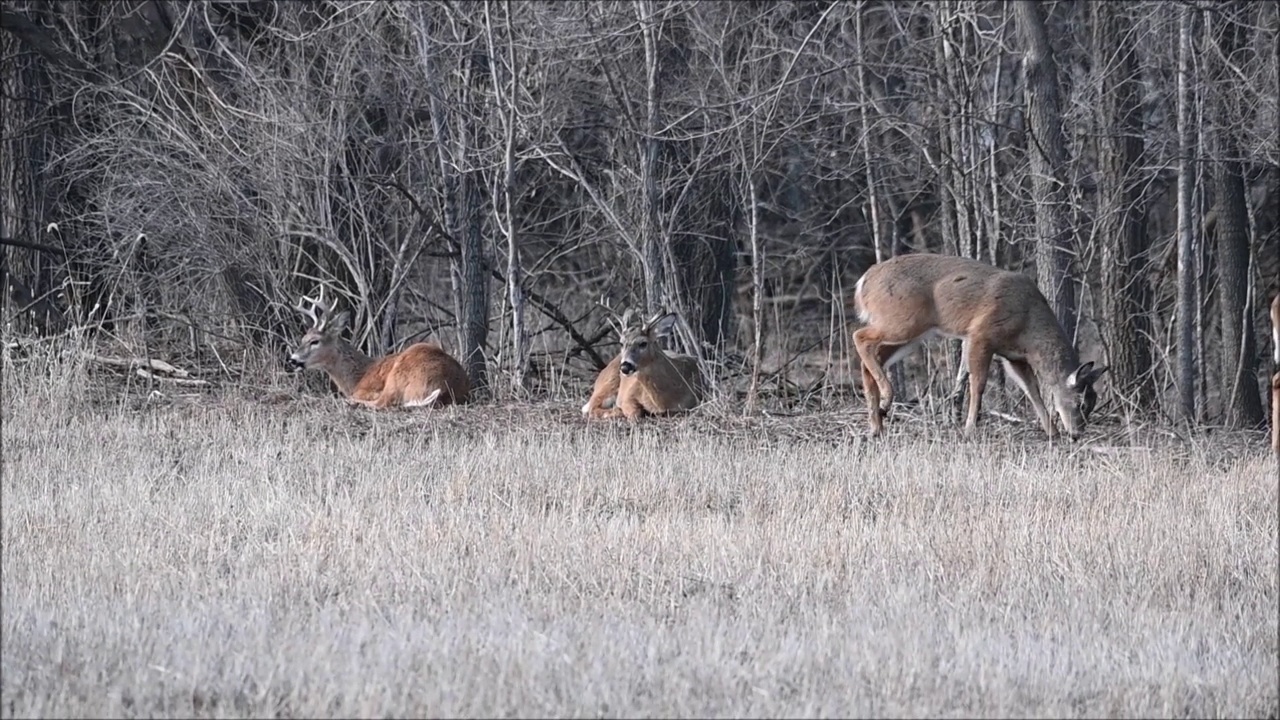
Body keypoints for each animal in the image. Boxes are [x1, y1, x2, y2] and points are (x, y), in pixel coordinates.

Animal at [286, 286, 471, 409]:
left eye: (315, 341)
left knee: (382, 403)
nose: (293, 359)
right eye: (303, 338)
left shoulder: (366, 389)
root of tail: (446, 387)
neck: (357, 376)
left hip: (400, 373)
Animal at [849, 254, 1111, 440]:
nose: (1077, 434)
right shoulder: (981, 335)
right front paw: (969, 429)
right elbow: (979, 384)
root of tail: (863, 282)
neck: (1028, 324)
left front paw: (1052, 432)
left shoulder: (1014, 356)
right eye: (1080, 403)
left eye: (1093, 403)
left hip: (910, 334)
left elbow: (1032, 390)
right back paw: (886, 399)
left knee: (871, 357)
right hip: (903, 321)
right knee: (859, 336)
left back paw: (877, 423)